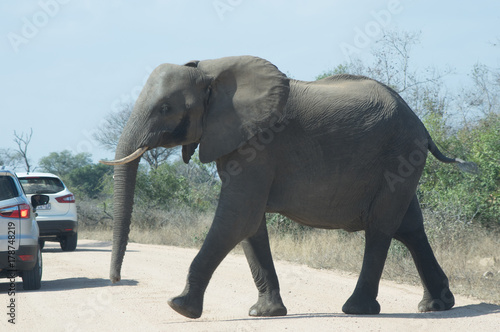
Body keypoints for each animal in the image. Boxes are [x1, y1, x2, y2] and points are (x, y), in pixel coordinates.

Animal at [102, 55, 472, 320]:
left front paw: (179, 307)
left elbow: (236, 218)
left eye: (166, 108)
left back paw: (357, 309)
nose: (116, 281)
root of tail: (422, 126)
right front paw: (264, 313)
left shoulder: (258, 146)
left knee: (381, 227)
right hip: (403, 160)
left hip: (399, 154)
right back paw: (438, 305)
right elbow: (250, 224)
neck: (210, 71)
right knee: (409, 226)